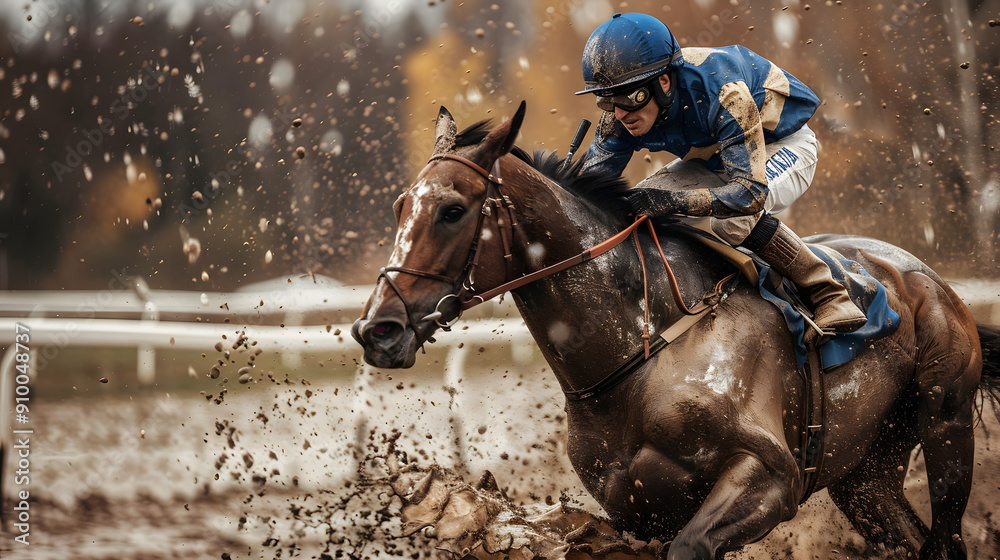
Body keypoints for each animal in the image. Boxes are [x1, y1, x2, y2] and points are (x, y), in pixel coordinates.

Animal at [351, 101, 1000, 559]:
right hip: (867, 475)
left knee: (945, 537)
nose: (377, 329)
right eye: (400, 206)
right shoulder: (641, 509)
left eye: (452, 210)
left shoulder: (771, 476)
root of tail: (934, 282)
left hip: (945, 425)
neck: (647, 347)